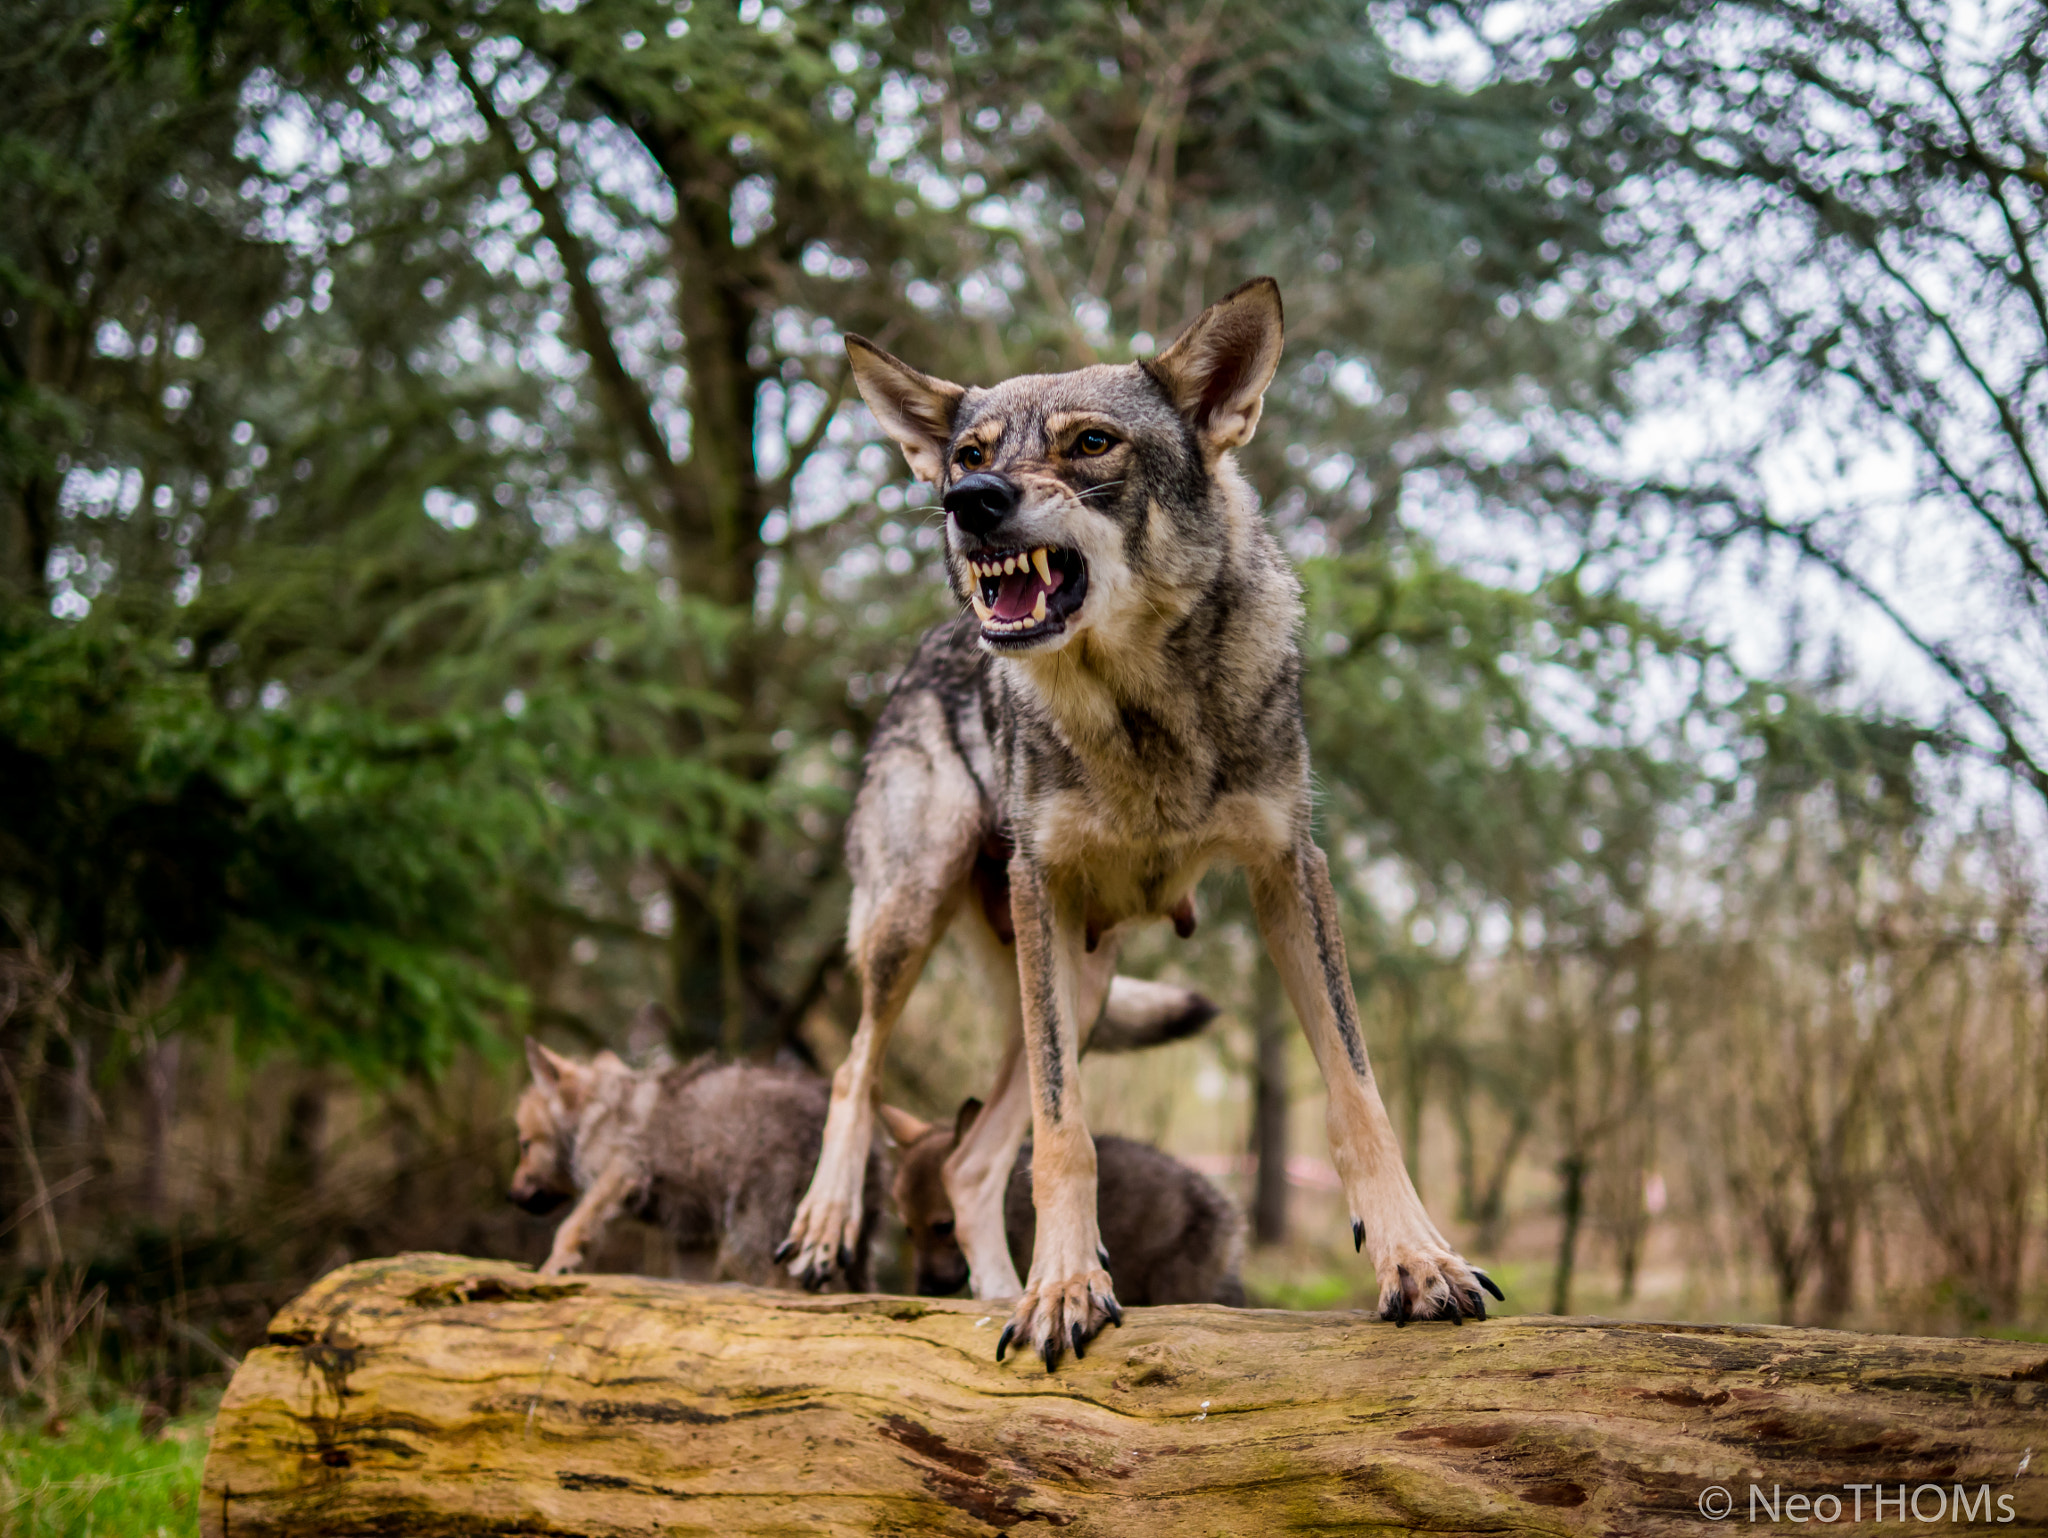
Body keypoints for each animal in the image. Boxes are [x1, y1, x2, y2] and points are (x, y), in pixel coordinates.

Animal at [512, 1040, 880, 1294]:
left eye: (525, 1144)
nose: (510, 1195)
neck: (596, 1109)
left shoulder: (622, 1173)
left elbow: (572, 1225)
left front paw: (555, 1266)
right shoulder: (693, 1238)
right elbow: (691, 1283)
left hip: (757, 1231)